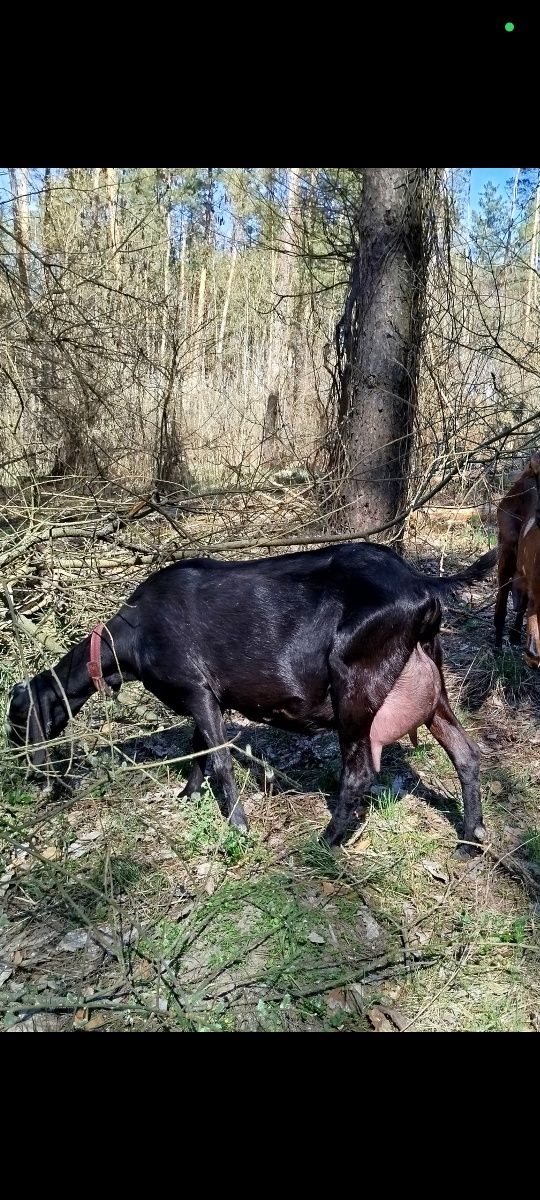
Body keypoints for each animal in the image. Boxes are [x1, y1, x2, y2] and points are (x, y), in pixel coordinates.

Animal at [4, 542, 496, 844]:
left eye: (15, 719)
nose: (25, 773)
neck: (132, 633)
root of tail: (420, 584)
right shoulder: (206, 698)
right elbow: (199, 750)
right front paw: (188, 796)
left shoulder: (197, 692)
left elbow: (220, 759)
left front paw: (238, 825)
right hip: (431, 684)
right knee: (466, 754)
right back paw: (470, 837)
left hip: (354, 684)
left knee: (358, 773)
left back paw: (326, 842)